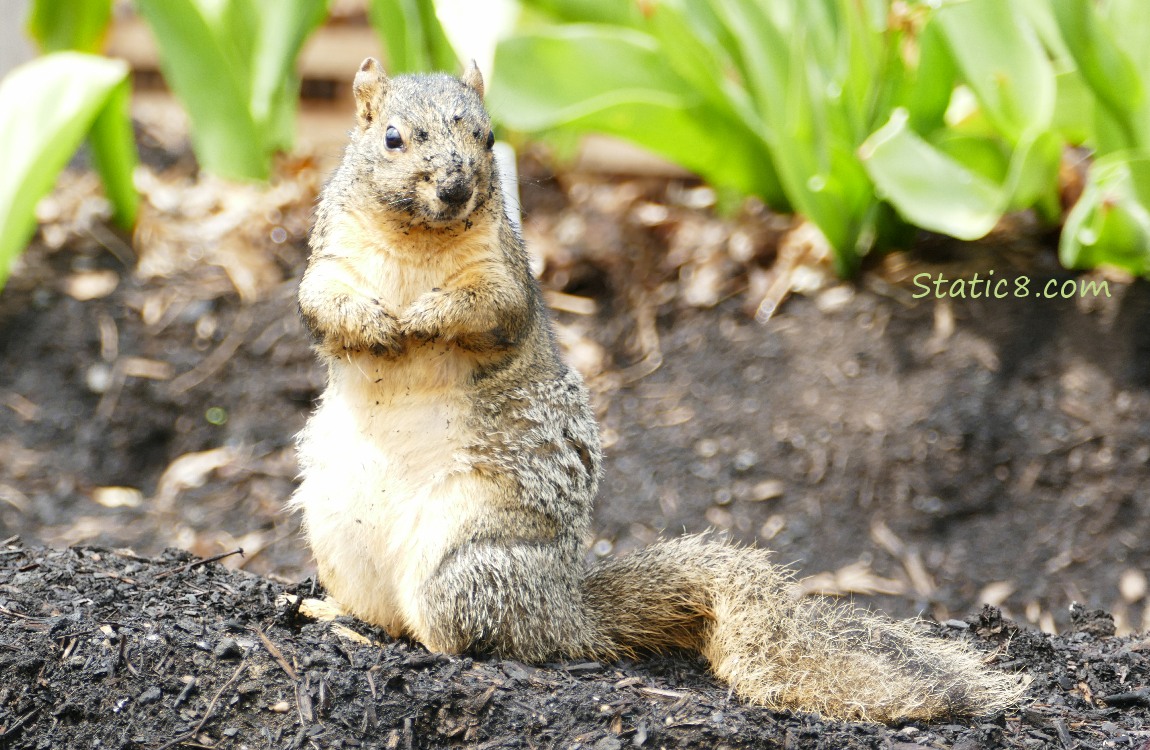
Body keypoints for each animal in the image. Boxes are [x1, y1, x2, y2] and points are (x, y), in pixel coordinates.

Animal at [289, 55, 1025, 722]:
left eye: (490, 138)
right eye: (391, 137)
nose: (454, 186)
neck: (417, 242)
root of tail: (562, 606)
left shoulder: (506, 278)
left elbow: (486, 310)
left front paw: (423, 317)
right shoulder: (329, 261)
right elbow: (322, 306)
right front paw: (378, 323)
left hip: (467, 565)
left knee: (467, 635)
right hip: (338, 538)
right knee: (383, 613)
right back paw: (331, 614)